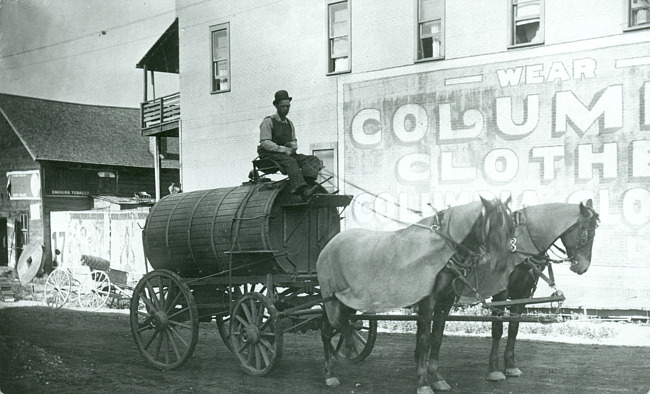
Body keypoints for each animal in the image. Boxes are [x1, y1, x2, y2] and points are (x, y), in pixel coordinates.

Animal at [316, 197, 512, 394]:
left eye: (510, 226)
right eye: (493, 225)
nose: (503, 265)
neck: (443, 250)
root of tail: (329, 244)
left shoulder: (445, 301)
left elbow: (437, 337)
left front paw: (436, 376)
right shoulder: (428, 300)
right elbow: (425, 340)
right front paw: (423, 381)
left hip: (346, 301)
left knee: (344, 324)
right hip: (331, 299)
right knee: (326, 331)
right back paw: (329, 373)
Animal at [426, 199, 596, 390]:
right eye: (586, 234)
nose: (582, 267)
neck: (520, 245)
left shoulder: (523, 293)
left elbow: (514, 327)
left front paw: (511, 366)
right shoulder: (500, 292)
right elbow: (497, 329)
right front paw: (494, 370)